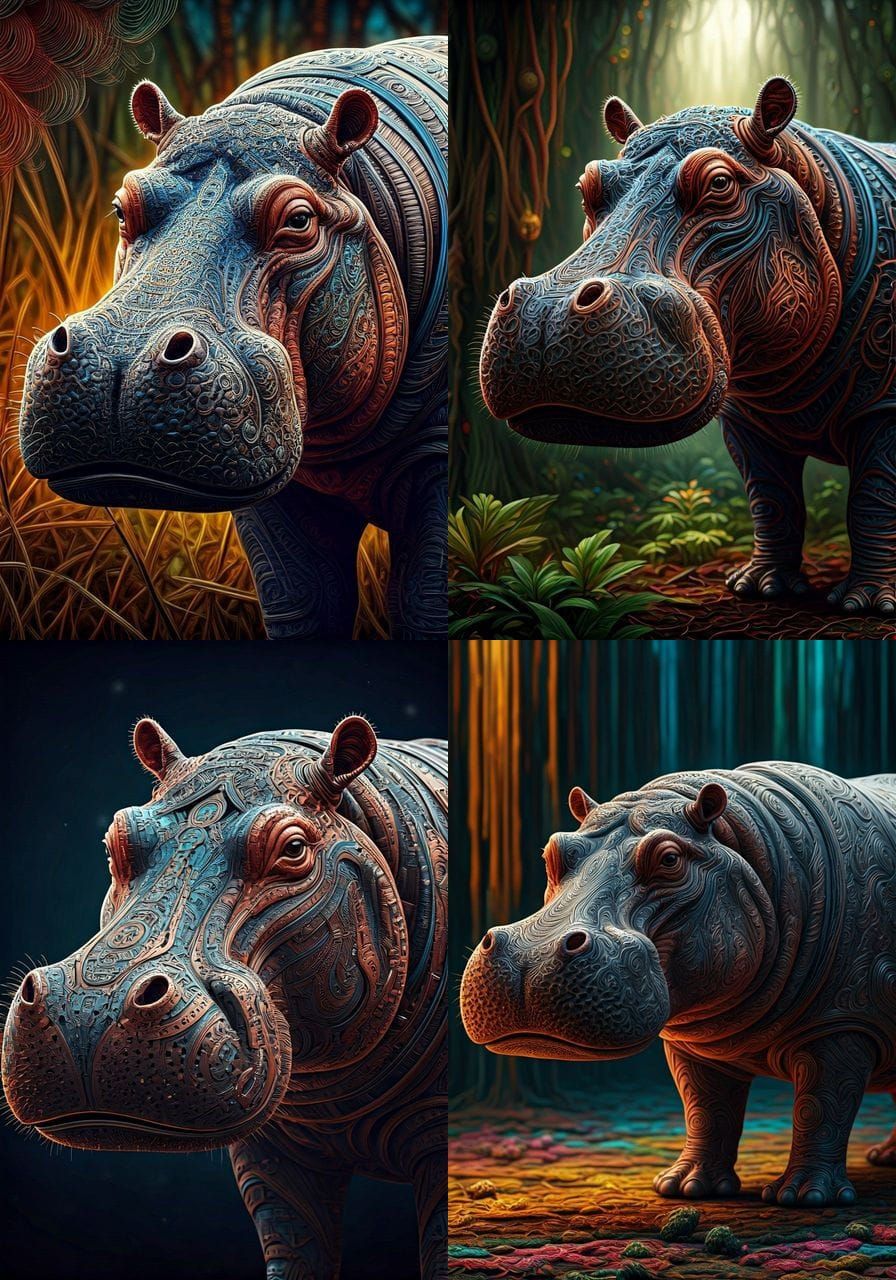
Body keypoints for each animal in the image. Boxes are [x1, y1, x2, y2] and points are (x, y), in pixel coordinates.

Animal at [19, 37, 447, 640]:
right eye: (122, 207)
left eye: (299, 220)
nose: (118, 364)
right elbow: (306, 598)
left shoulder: (437, 451)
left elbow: (425, 603)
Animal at [461, 762, 896, 1207]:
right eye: (552, 852)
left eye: (670, 858)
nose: (531, 957)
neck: (752, 846)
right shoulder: (696, 1039)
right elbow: (704, 1108)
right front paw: (685, 1188)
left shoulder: (841, 1022)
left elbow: (821, 1106)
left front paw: (803, 1197)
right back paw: (884, 1159)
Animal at [480, 78, 896, 615]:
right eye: (587, 186)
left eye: (719, 184)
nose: (545, 315)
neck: (811, 181)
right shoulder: (748, 416)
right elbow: (769, 495)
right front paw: (759, 588)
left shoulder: (885, 408)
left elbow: (874, 496)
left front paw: (866, 605)